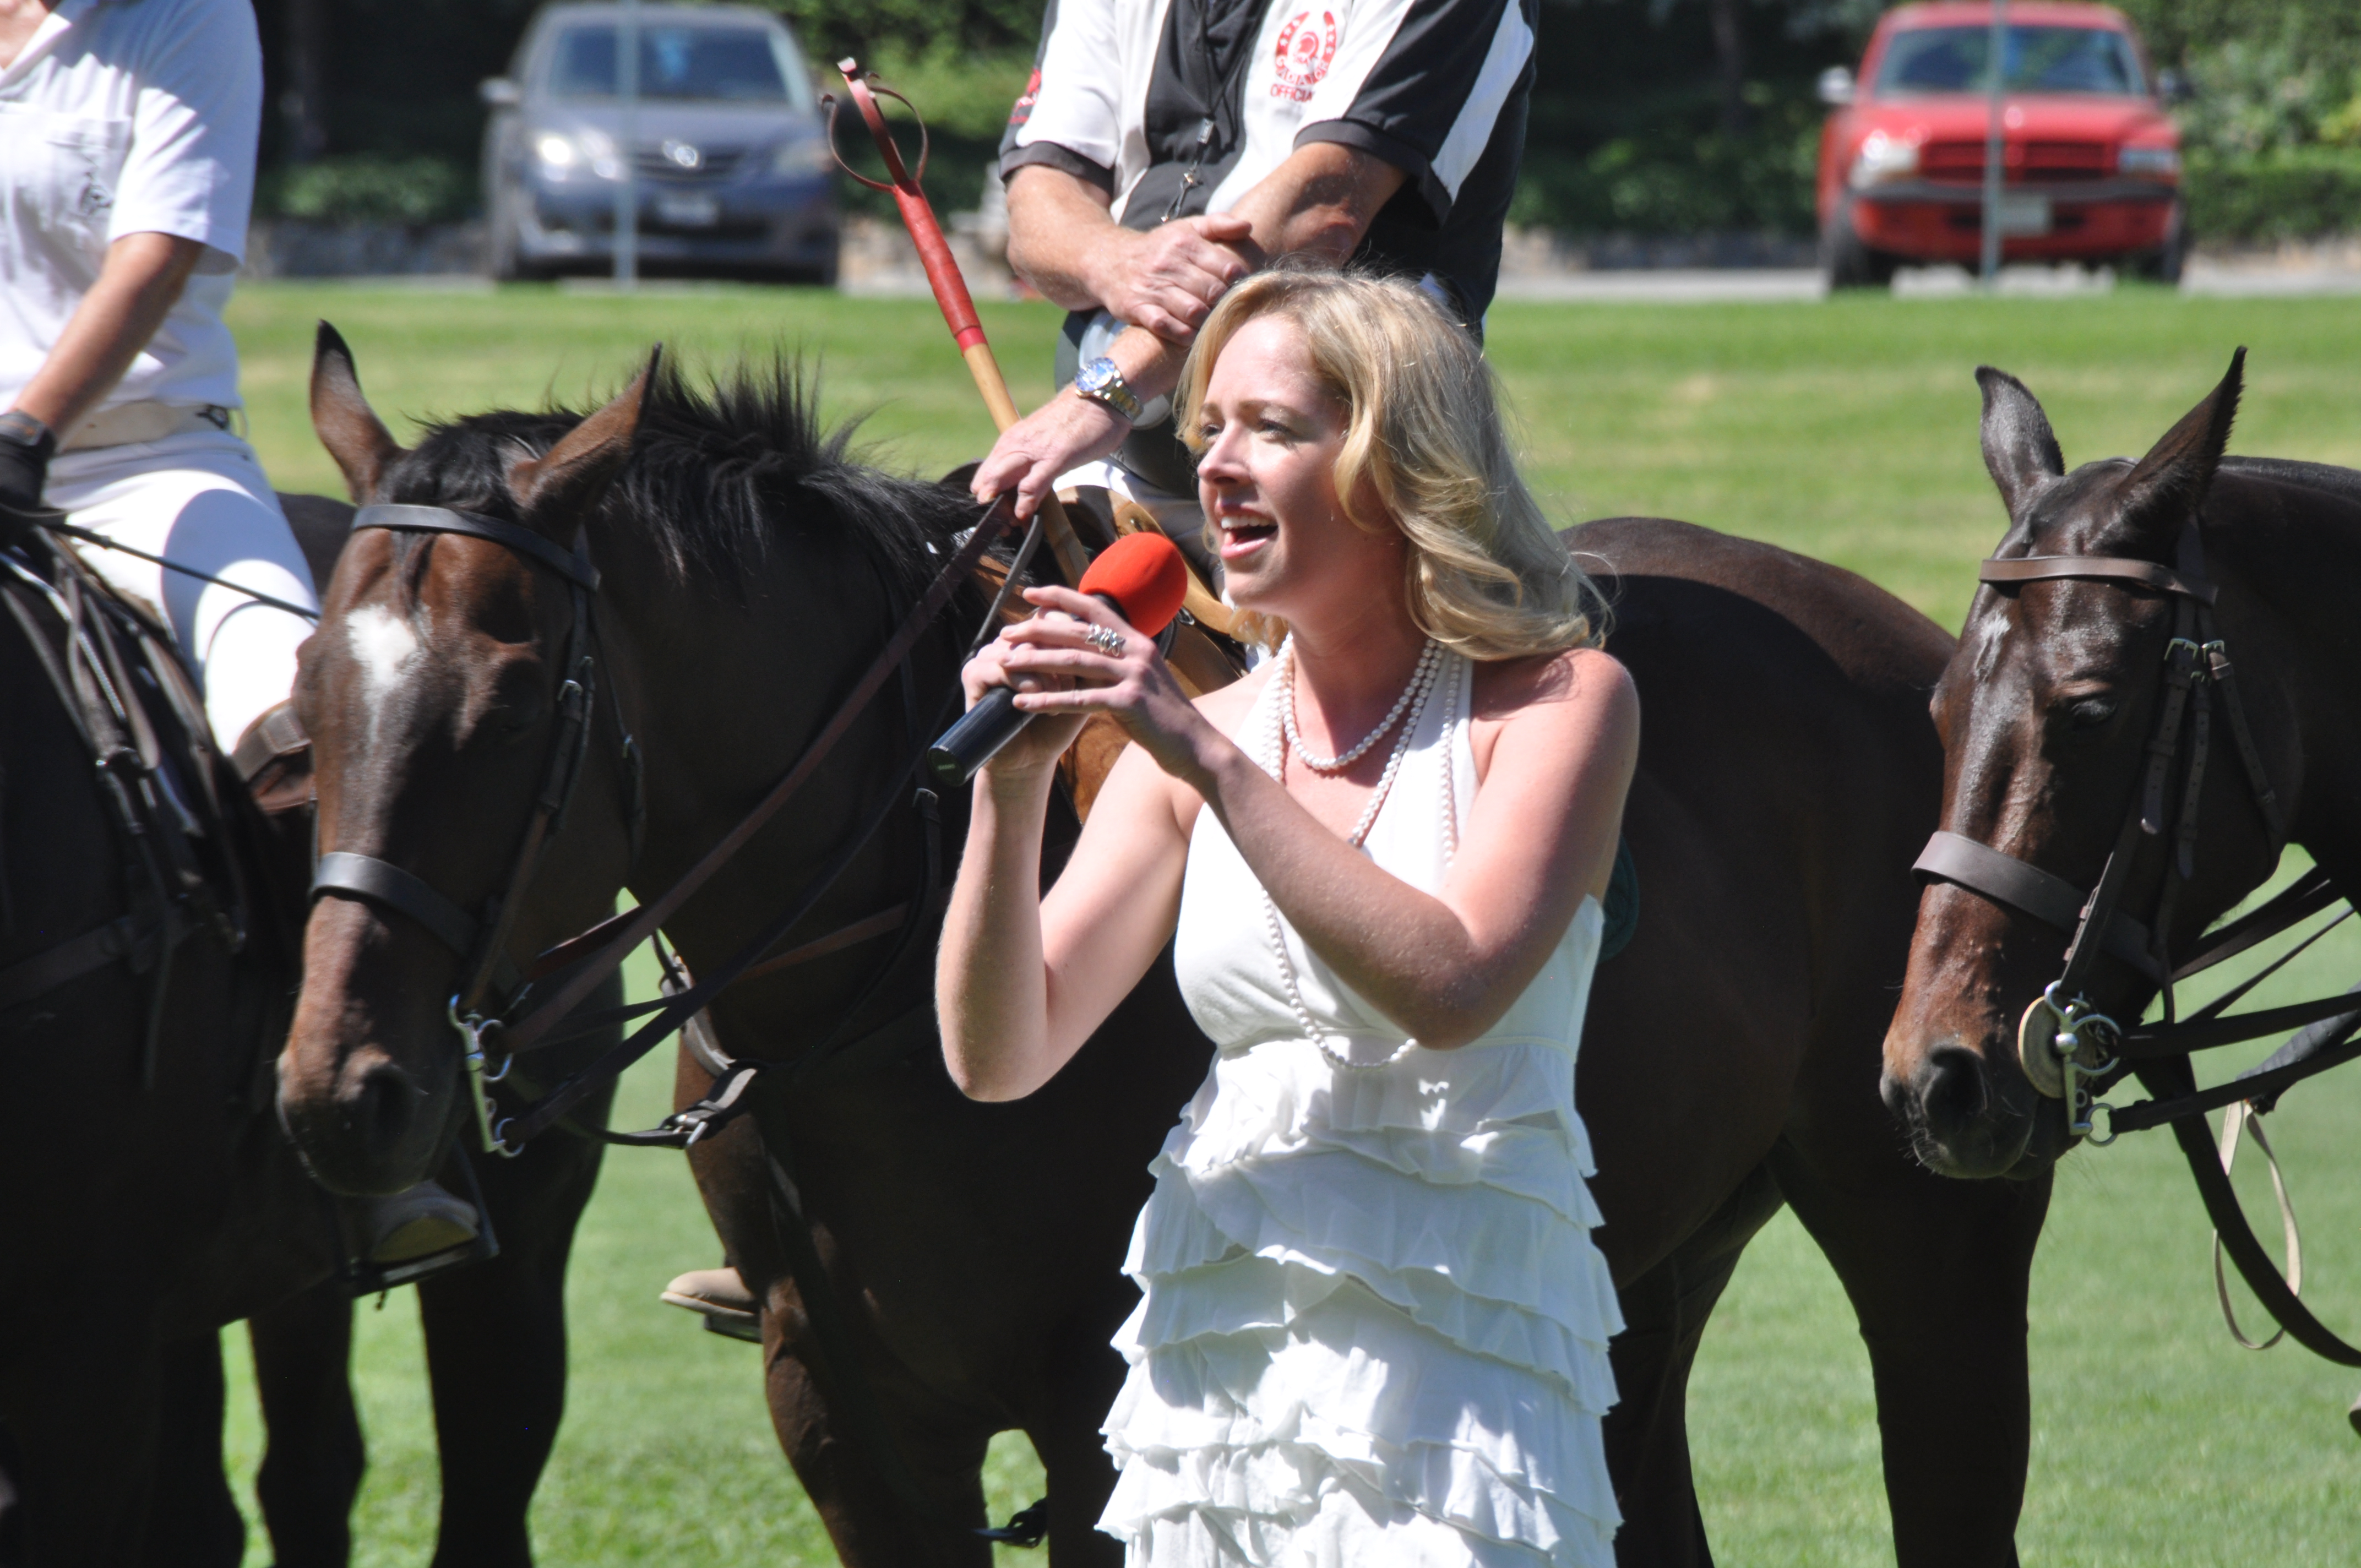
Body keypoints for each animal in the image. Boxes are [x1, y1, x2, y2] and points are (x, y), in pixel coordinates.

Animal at [271, 333, 2049, 1567]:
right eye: (307, 688)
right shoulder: (840, 1406)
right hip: (1648, 1274)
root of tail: (1903, 643)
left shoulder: (1094, 1402)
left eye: (512, 703)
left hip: (1934, 1234)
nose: (341, 1089)